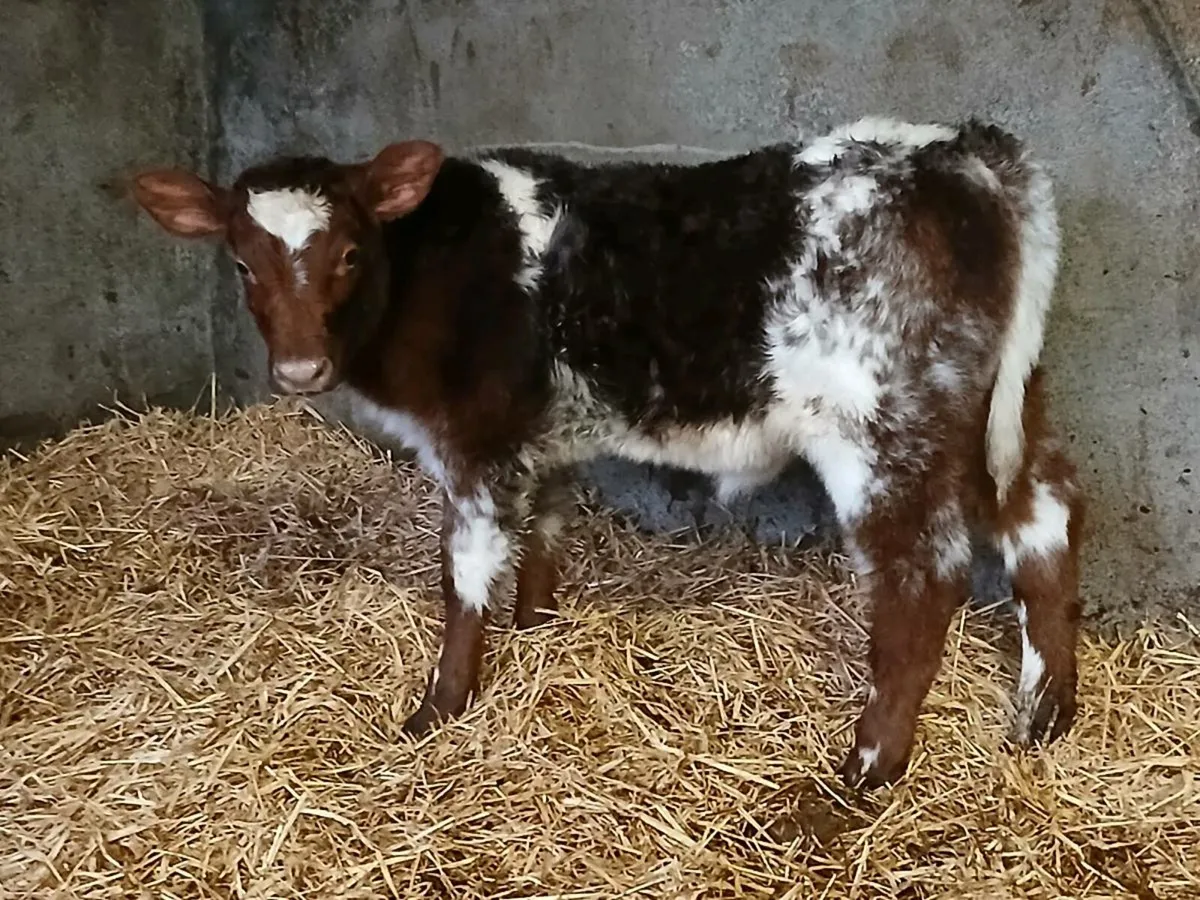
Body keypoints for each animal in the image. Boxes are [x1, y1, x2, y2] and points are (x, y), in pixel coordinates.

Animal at [131, 116, 1083, 788]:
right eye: (243, 263)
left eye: (352, 252)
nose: (300, 369)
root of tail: (963, 149)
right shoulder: (545, 437)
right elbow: (546, 535)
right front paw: (537, 632)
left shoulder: (474, 444)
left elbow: (466, 575)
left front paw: (438, 710)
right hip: (1004, 403)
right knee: (1044, 518)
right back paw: (1045, 715)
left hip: (886, 428)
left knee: (924, 577)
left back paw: (862, 772)